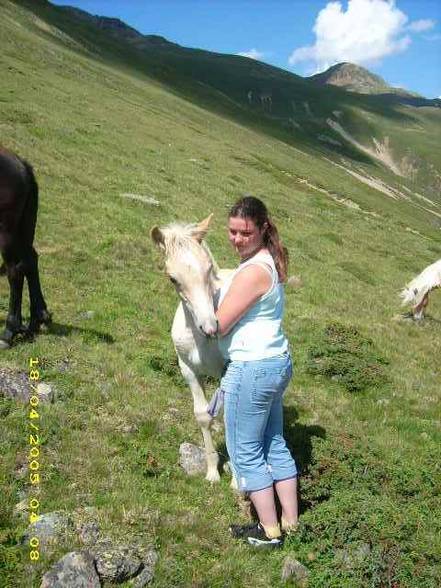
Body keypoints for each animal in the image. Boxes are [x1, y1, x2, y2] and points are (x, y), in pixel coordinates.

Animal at [0, 149, 50, 346]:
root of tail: (22, 166)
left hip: (6, 233)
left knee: (15, 272)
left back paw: (10, 331)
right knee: (30, 260)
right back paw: (38, 319)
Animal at [150, 216, 230, 482]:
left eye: (208, 268)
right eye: (172, 279)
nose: (211, 326)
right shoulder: (188, 369)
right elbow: (203, 415)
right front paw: (212, 471)